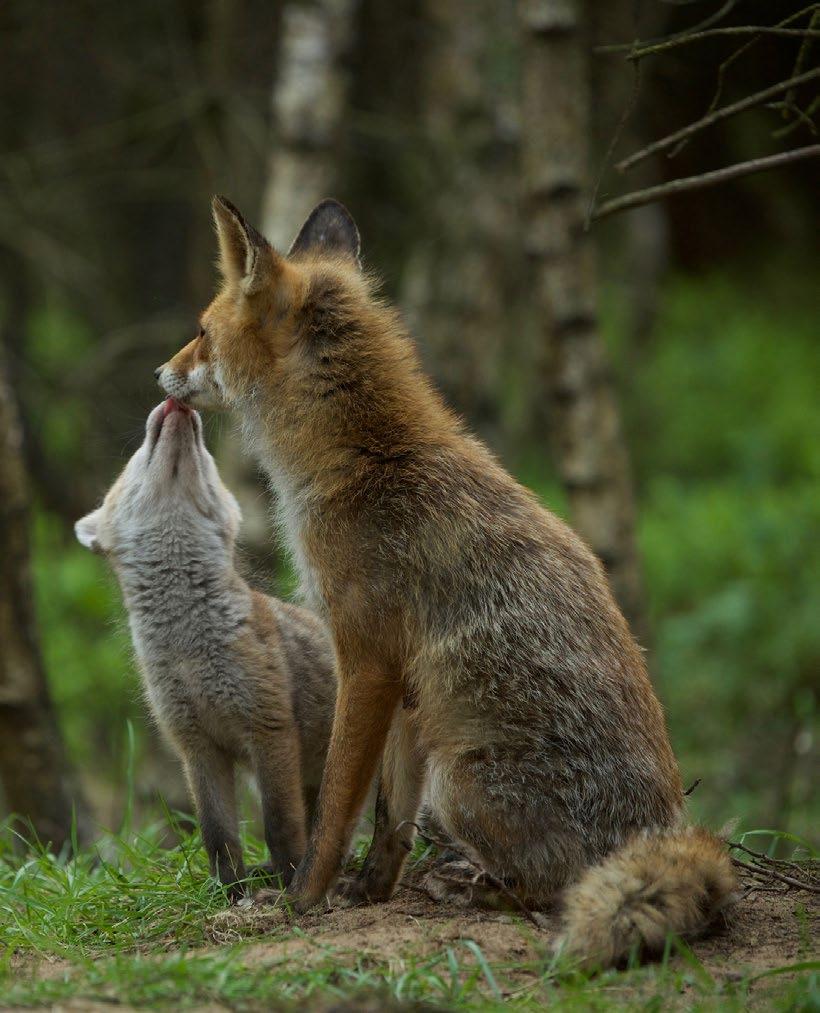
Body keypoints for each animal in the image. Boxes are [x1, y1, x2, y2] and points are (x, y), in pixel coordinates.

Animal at [155, 195, 733, 964]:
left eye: (200, 332)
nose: (160, 373)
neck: (368, 461)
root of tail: (666, 828)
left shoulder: (366, 655)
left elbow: (335, 804)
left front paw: (304, 896)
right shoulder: (403, 678)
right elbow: (387, 819)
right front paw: (370, 892)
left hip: (456, 784)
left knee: (557, 885)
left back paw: (485, 890)